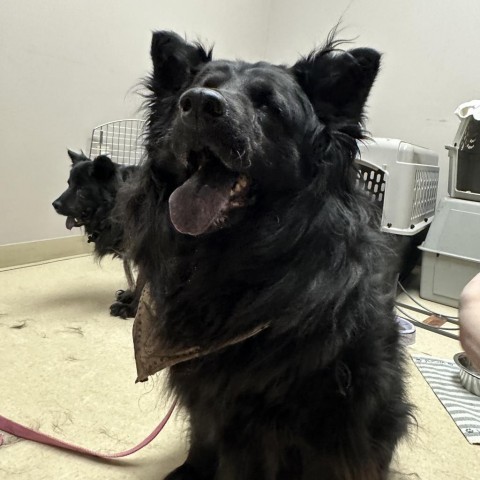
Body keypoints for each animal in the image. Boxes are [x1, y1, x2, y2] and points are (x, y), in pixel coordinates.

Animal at [124, 31, 412, 480]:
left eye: (268, 105)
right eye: (198, 88)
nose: (198, 103)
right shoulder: (206, 397)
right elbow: (202, 434)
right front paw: (191, 470)